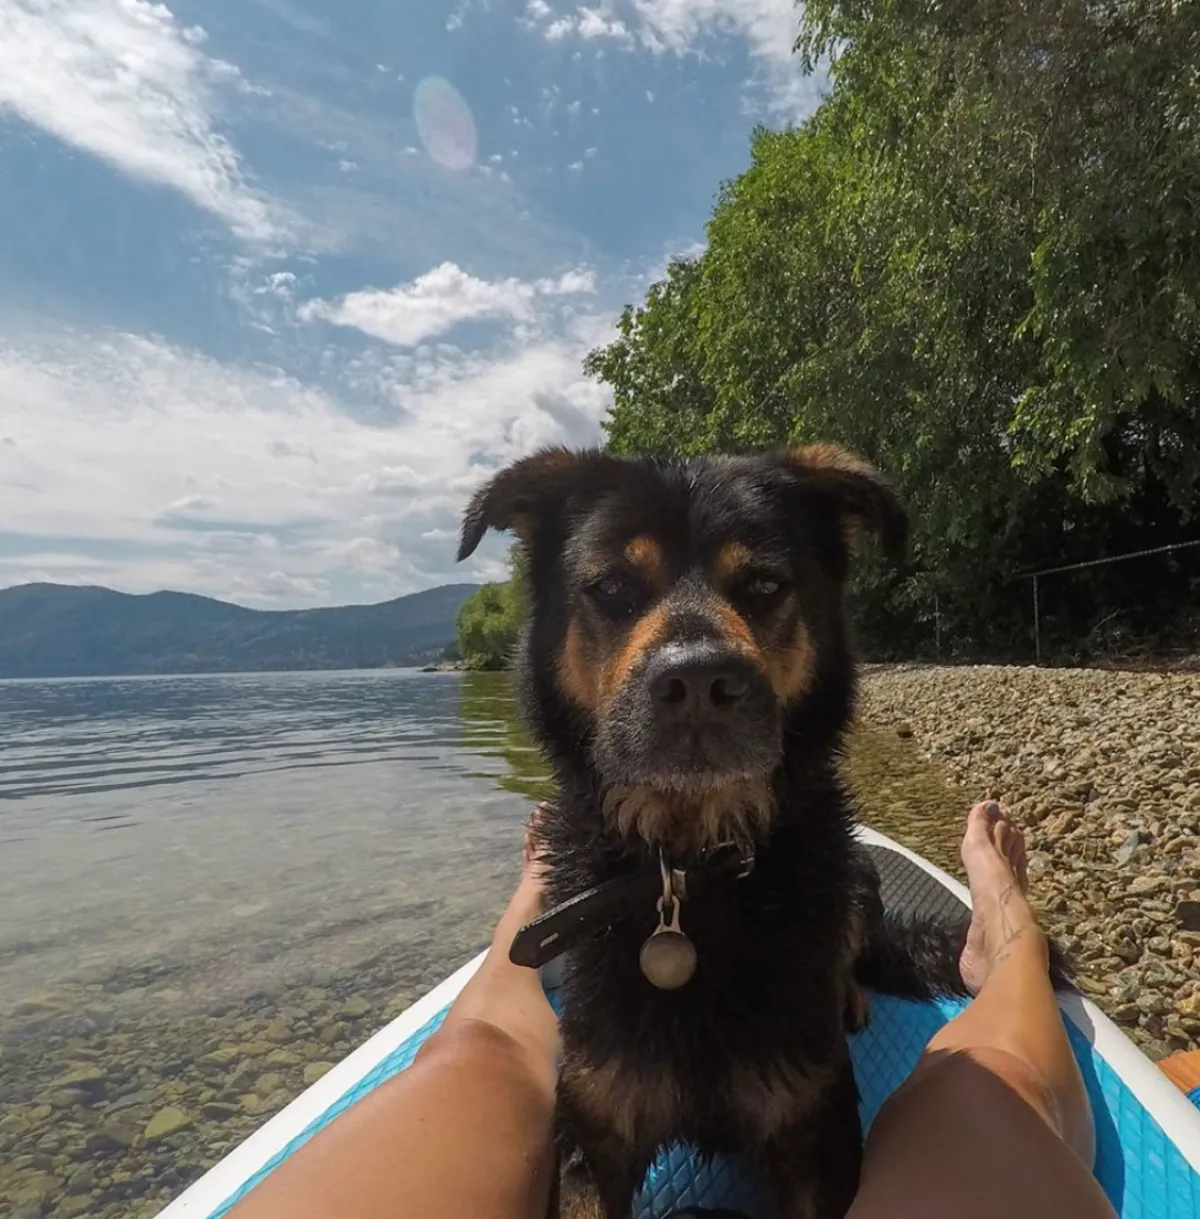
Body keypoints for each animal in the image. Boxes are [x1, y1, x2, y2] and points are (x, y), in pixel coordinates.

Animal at [458, 446, 1058, 1219]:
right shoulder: (593, 1131)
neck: (688, 867)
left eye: (766, 584)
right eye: (613, 585)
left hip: (857, 872)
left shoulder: (814, 1131)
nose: (698, 683)